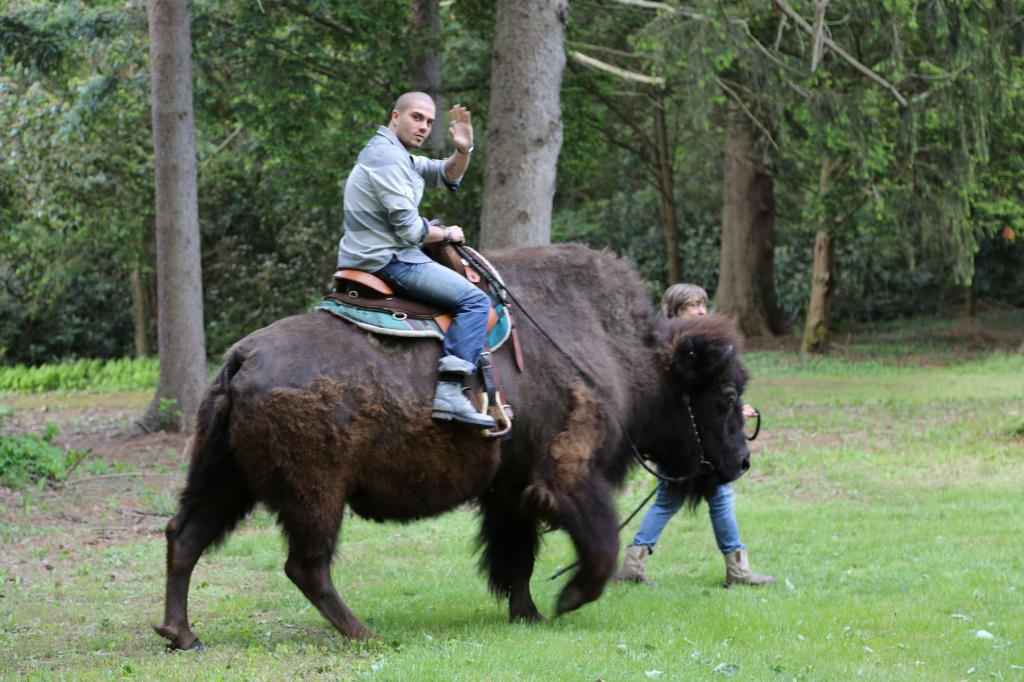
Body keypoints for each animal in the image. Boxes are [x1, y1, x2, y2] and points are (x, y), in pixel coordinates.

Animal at [153, 241, 753, 647]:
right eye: (724, 394)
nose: (742, 461)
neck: (625, 354)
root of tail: (240, 359)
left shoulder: (510, 492)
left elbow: (517, 557)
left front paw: (528, 613)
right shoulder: (568, 479)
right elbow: (598, 543)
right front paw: (567, 601)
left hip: (226, 479)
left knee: (186, 537)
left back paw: (182, 635)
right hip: (315, 495)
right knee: (306, 564)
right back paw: (365, 633)